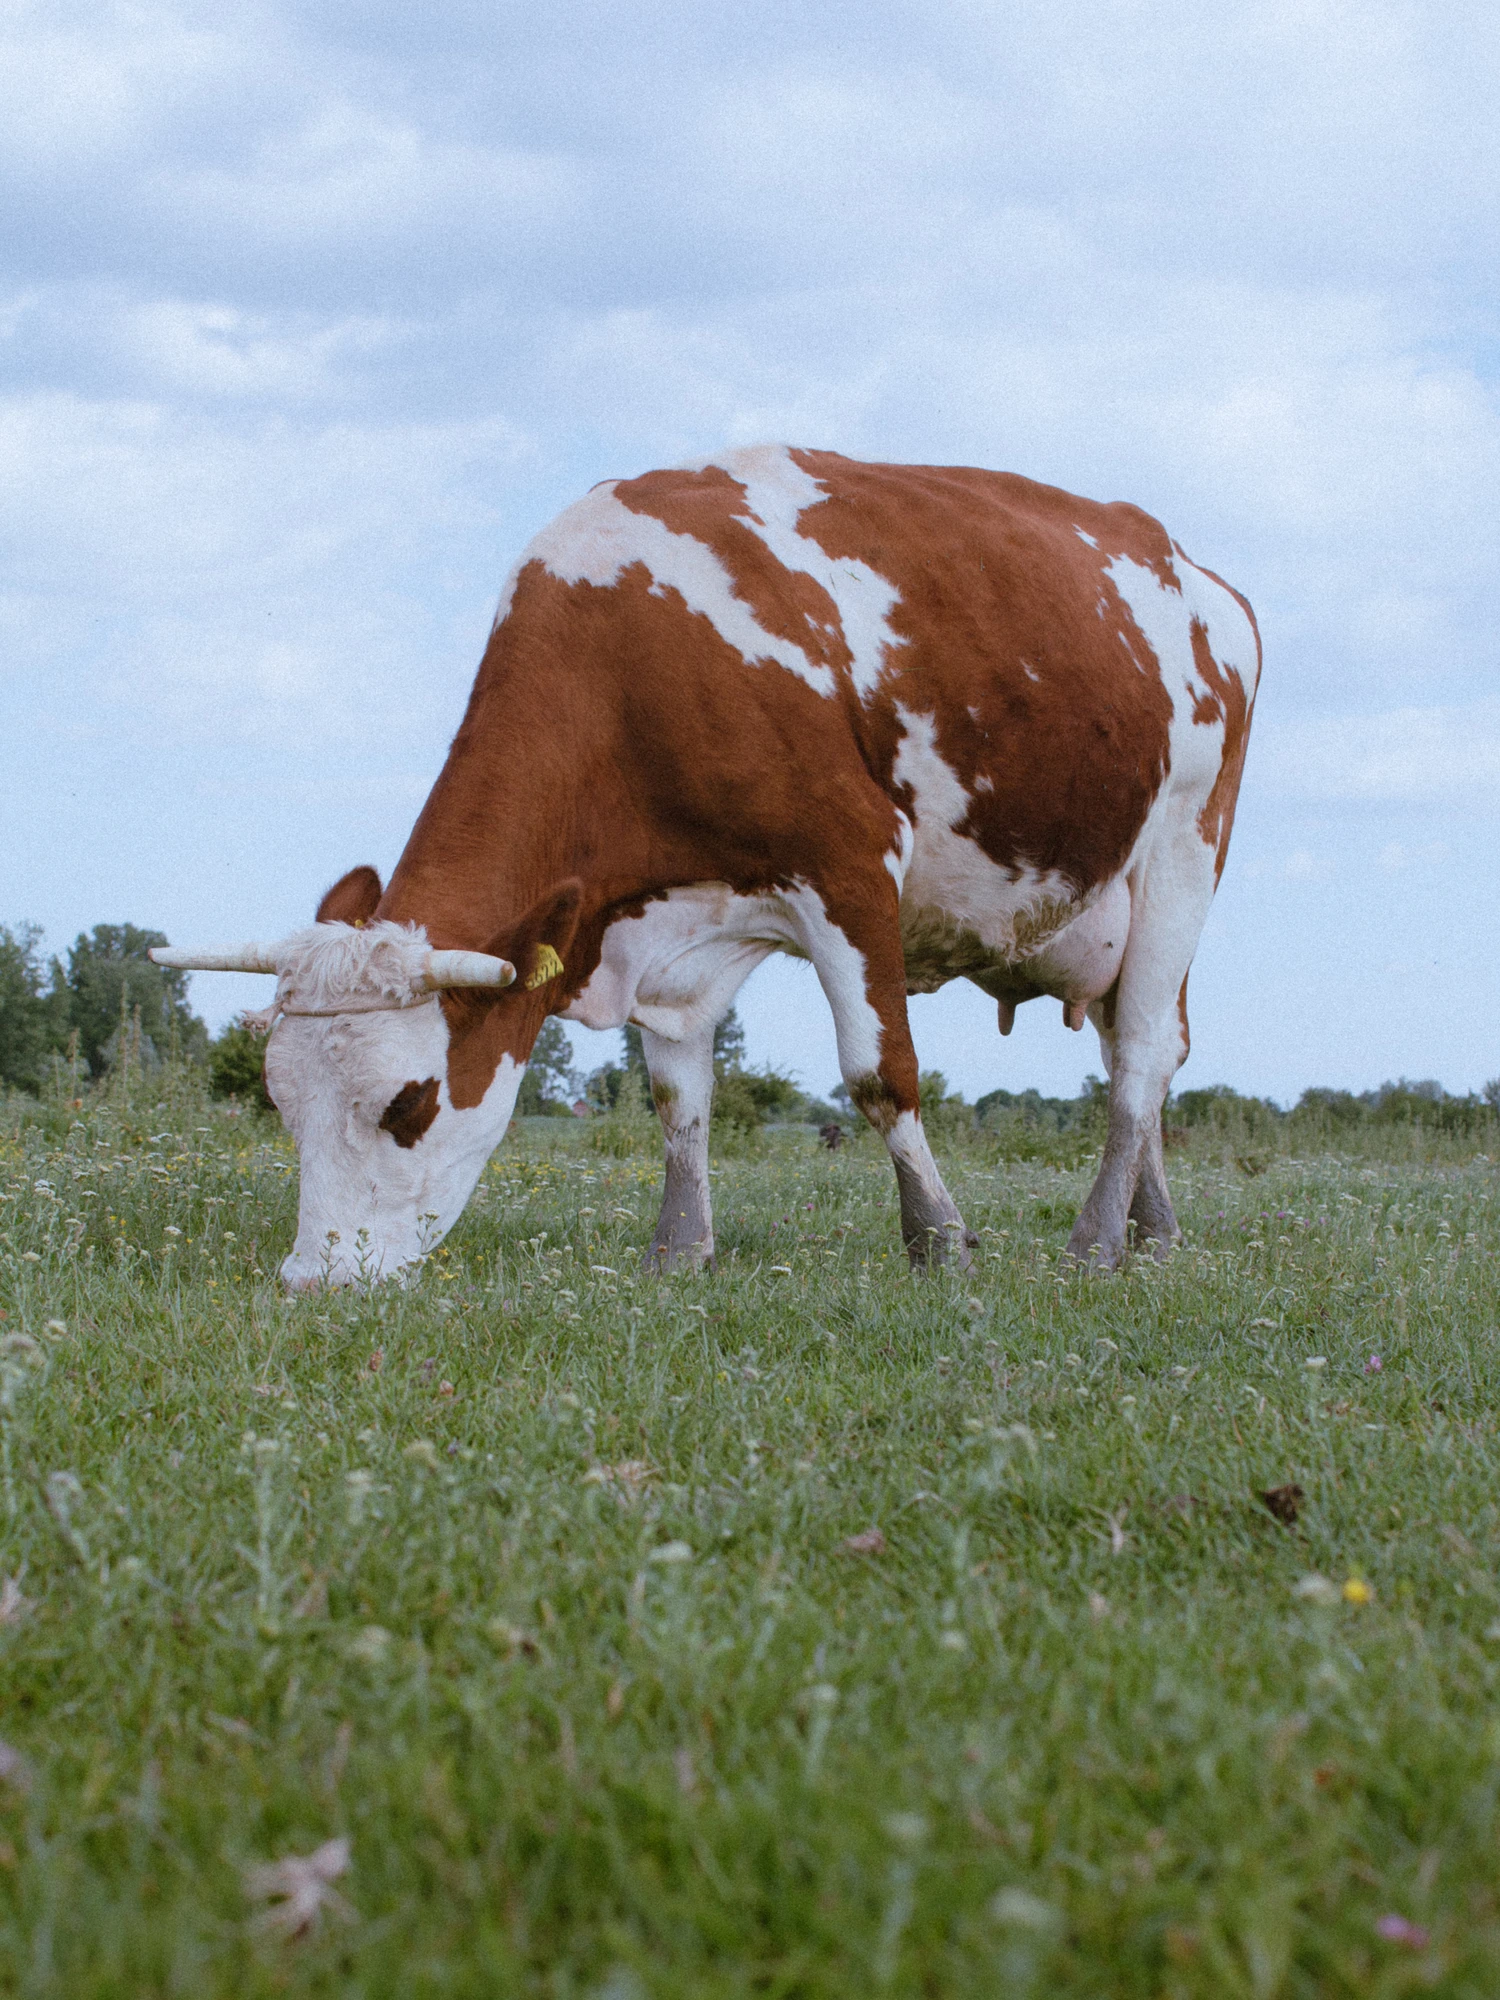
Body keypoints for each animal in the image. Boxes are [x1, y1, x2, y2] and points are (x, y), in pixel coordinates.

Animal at [154, 446, 1259, 1289]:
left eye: (409, 1103)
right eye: (280, 1101)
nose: (314, 1280)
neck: (632, 664)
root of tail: (1192, 570)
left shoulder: (851, 865)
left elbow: (880, 1075)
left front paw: (939, 1241)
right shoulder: (673, 930)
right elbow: (679, 1097)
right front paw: (678, 1249)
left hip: (1182, 850)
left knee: (1138, 1058)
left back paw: (1098, 1239)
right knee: (1147, 1048)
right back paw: (1155, 1229)